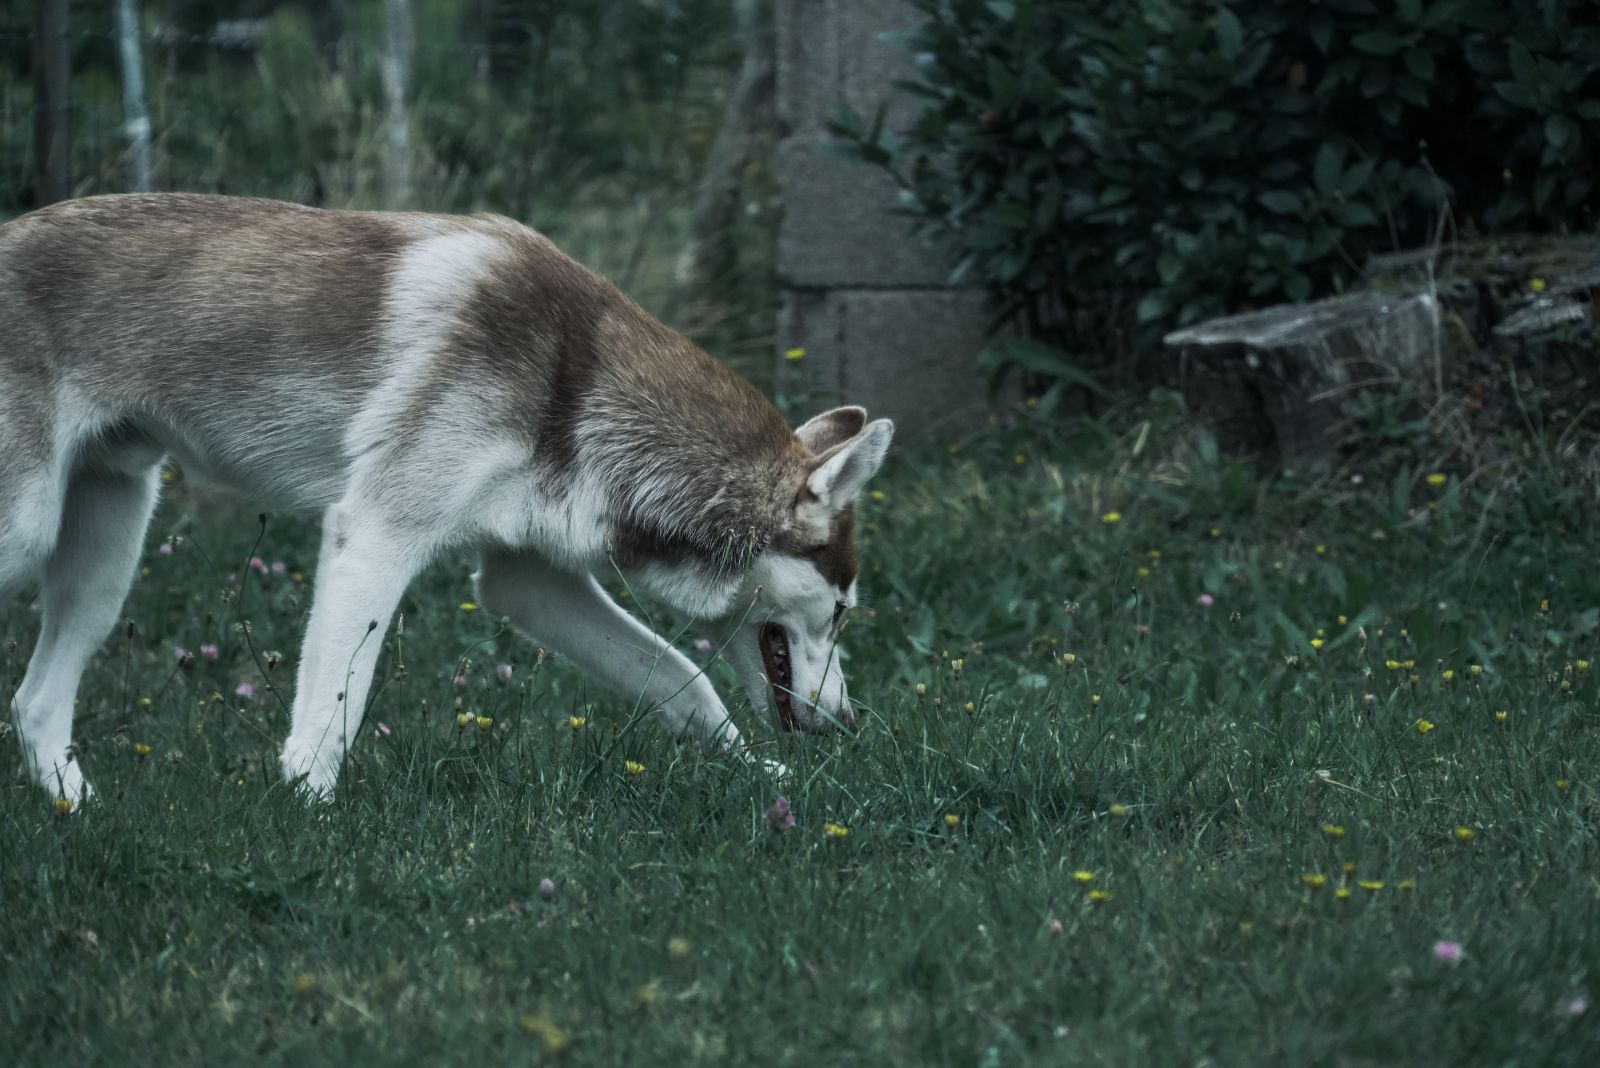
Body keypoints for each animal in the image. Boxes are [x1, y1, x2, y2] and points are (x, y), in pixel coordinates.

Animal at [0, 195, 889, 805]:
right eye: (844, 609)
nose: (851, 725)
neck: (579, 386)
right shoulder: (373, 538)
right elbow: (329, 719)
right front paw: (309, 821)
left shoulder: (528, 583)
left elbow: (684, 680)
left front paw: (758, 777)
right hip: (29, 536)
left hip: (103, 564)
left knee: (34, 700)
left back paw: (77, 808)